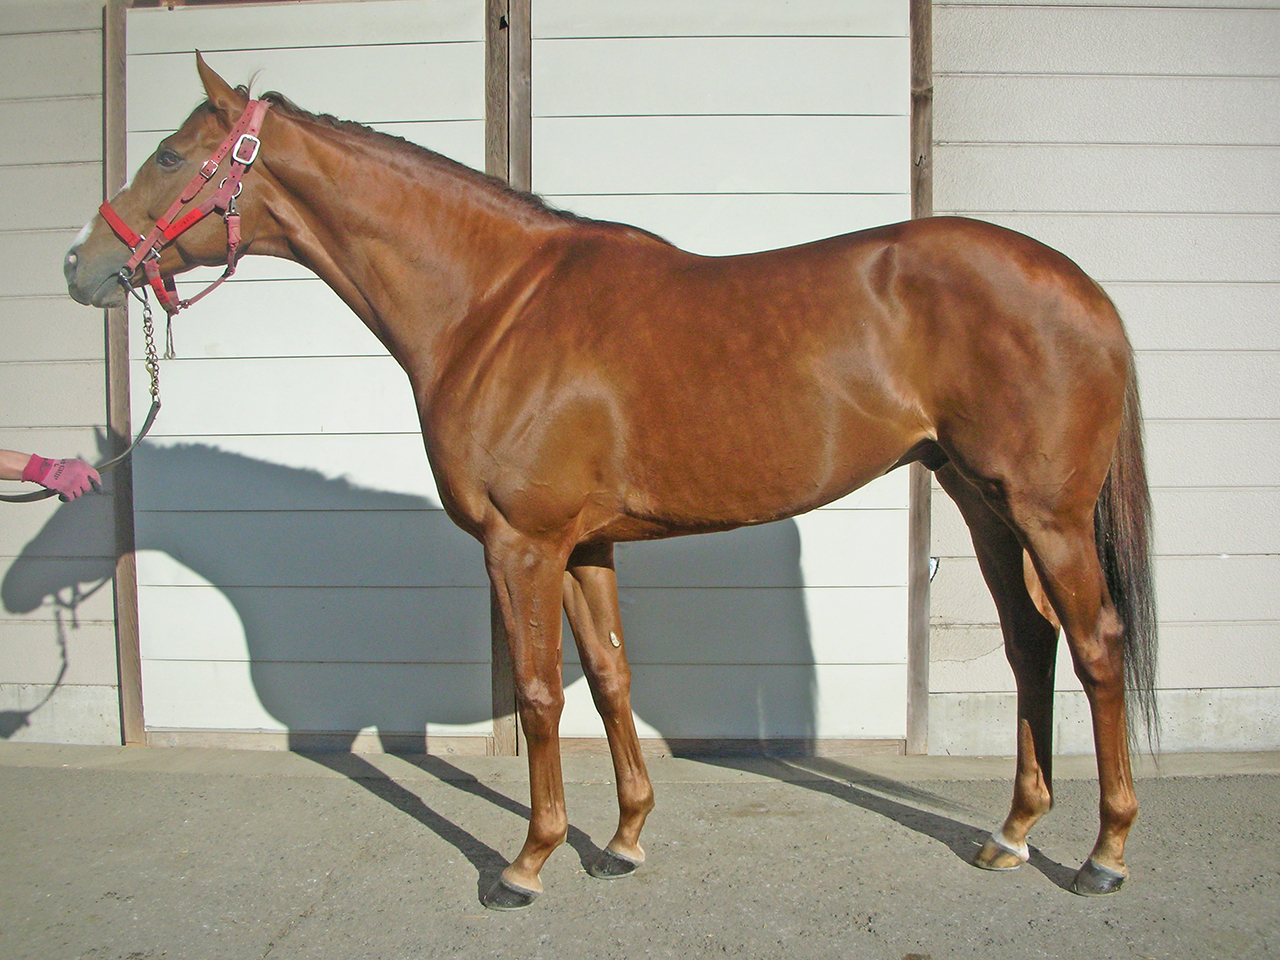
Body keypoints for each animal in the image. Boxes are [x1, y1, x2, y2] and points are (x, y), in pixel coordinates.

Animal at [64, 55, 1155, 908]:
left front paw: (527, 863)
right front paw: (623, 842)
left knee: (1094, 646)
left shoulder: (523, 544)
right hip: (982, 504)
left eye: (169, 156)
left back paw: (1101, 855)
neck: (493, 305)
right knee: (1029, 645)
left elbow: (542, 695)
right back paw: (1010, 836)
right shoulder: (586, 544)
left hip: (1046, 514)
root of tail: (1087, 290)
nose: (82, 264)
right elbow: (612, 679)